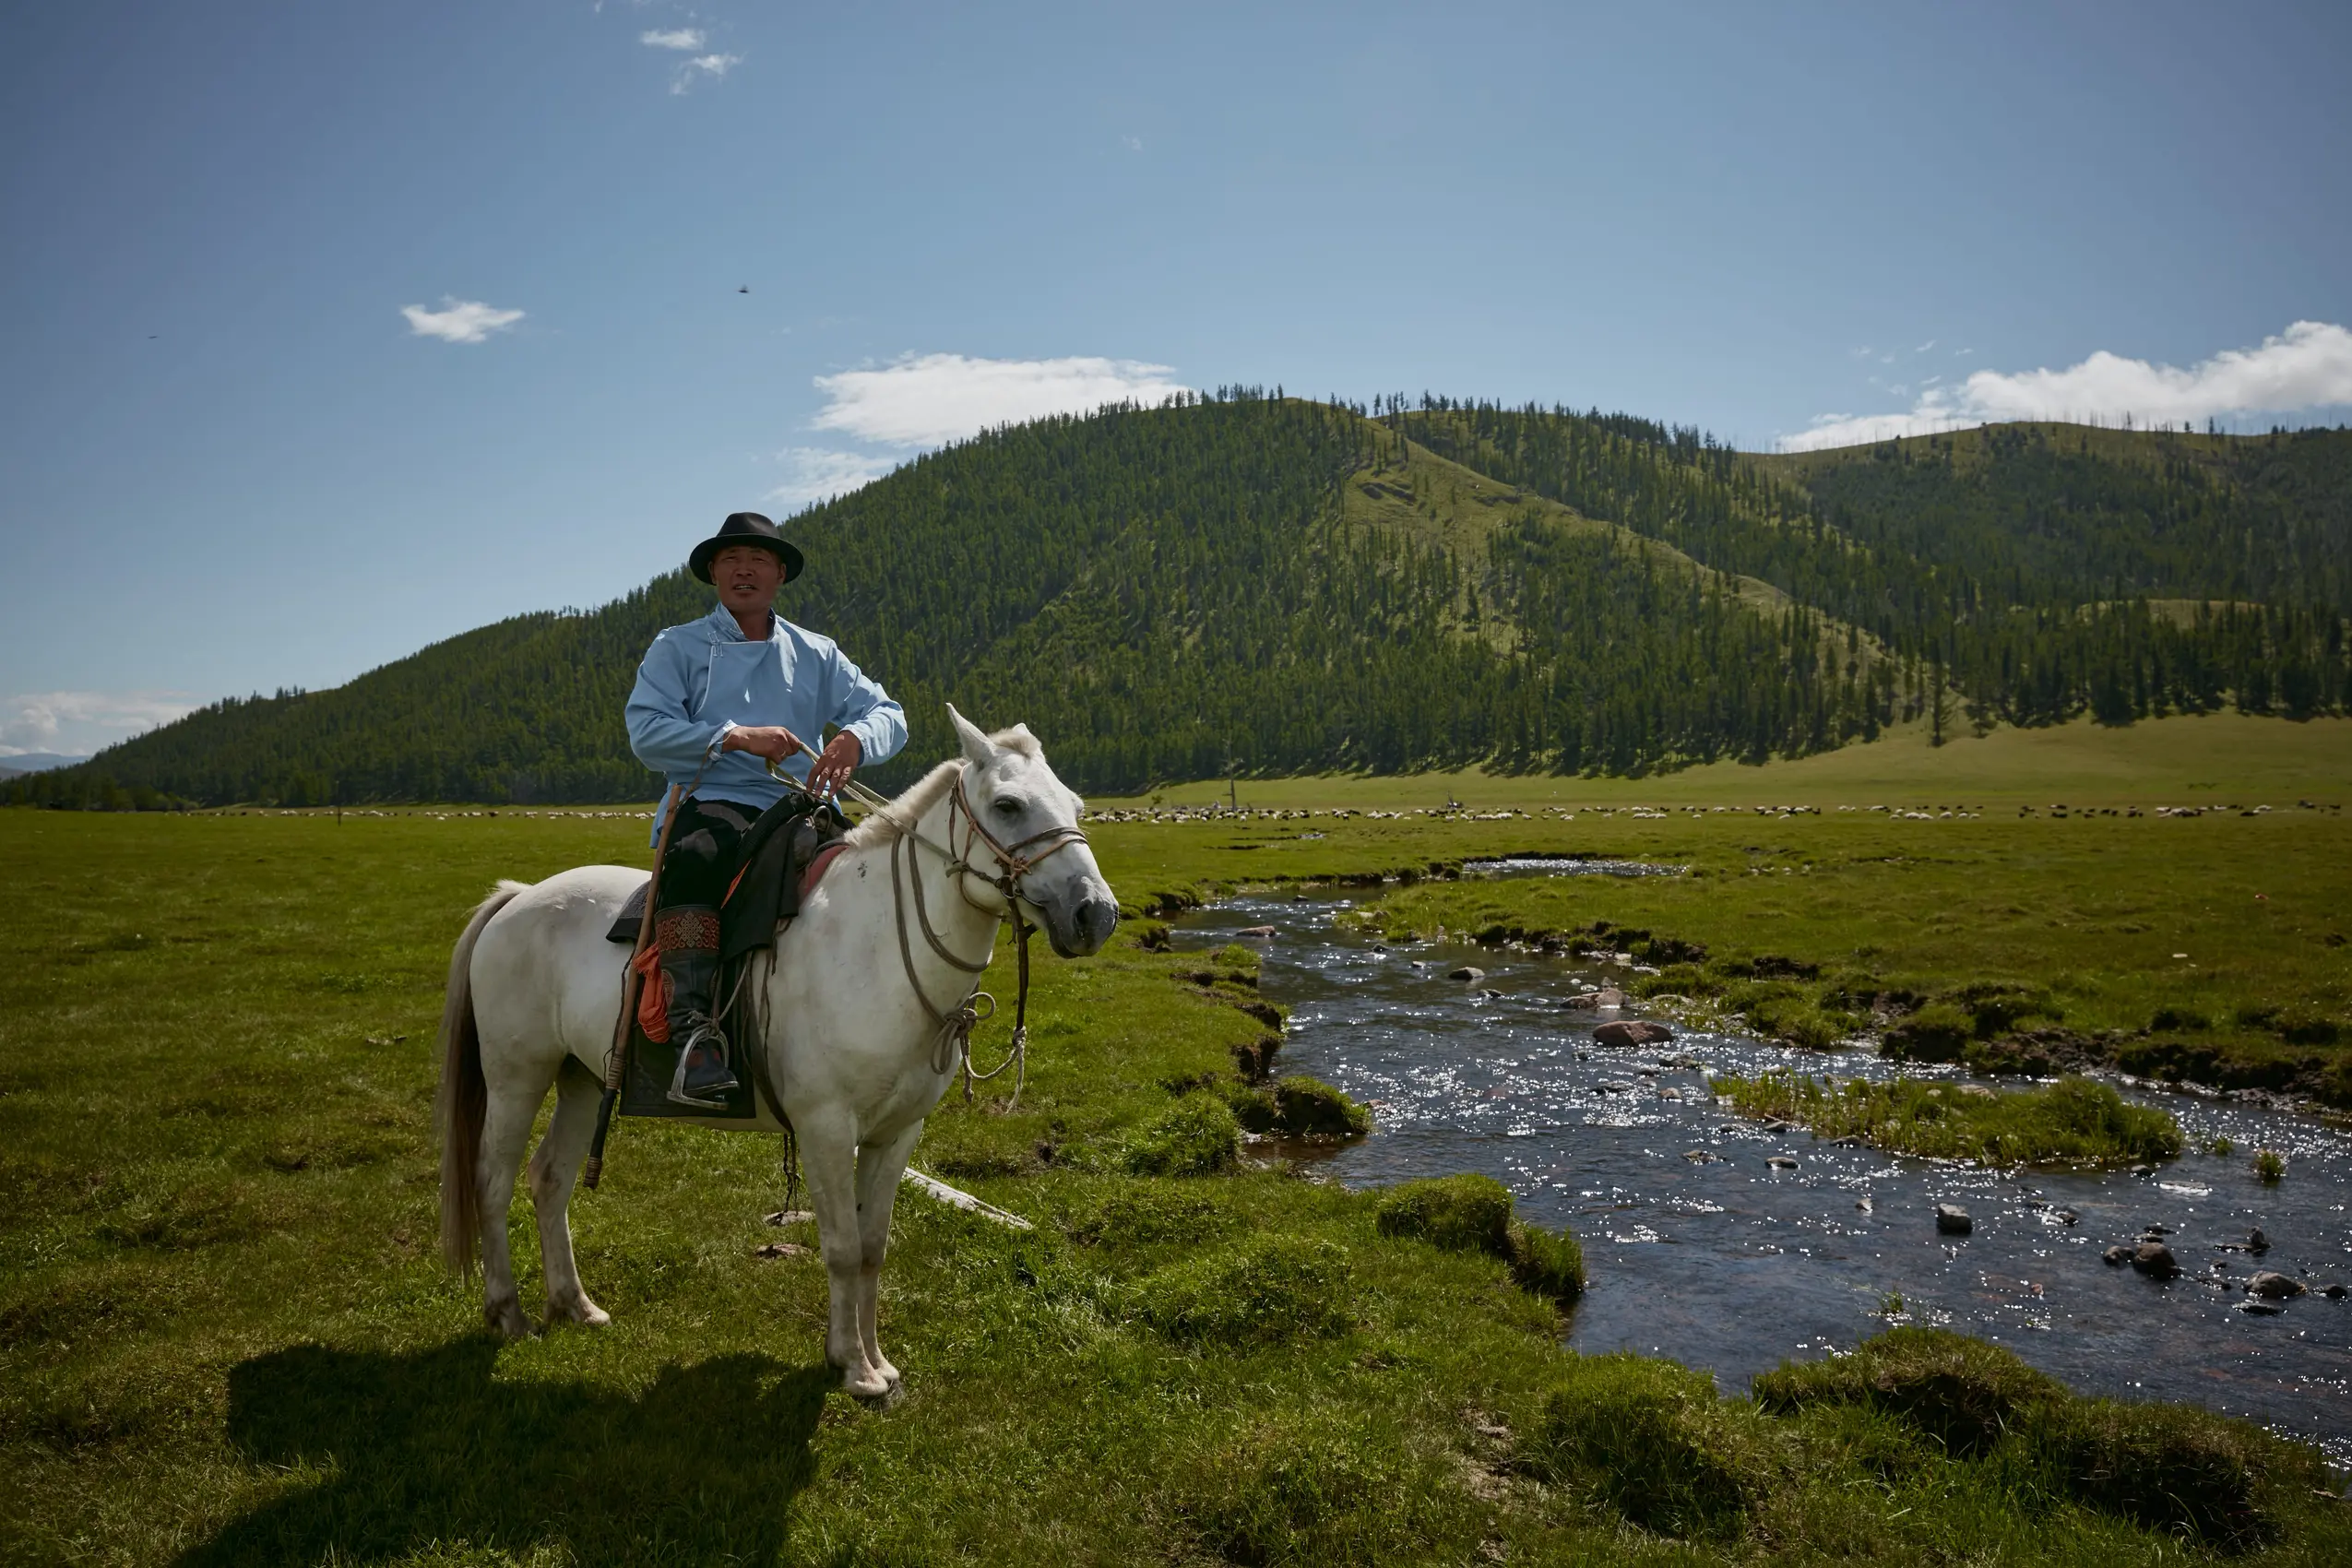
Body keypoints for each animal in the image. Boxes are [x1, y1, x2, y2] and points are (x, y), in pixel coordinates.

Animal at [434, 709, 1119, 1401]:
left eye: (1076, 806)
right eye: (1008, 805)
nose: (1096, 915)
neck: (874, 948)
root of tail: (519, 897)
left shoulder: (896, 1134)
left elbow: (872, 1246)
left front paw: (874, 1360)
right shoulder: (825, 1127)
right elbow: (841, 1246)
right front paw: (854, 1368)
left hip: (579, 1078)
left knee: (549, 1178)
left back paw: (574, 1304)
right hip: (516, 1077)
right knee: (492, 1180)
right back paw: (508, 1312)